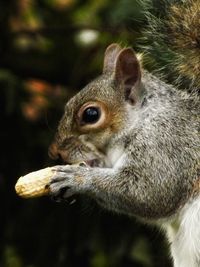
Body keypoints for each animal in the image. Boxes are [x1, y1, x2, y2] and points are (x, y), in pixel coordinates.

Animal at [47, 1, 199, 266]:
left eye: (91, 114)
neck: (144, 119)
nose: (54, 152)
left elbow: (149, 192)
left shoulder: (168, 146)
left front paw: (77, 178)